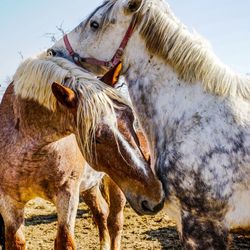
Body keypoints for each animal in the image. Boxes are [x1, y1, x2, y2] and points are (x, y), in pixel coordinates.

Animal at [0, 53, 164, 250]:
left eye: (131, 117)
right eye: (95, 137)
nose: (155, 197)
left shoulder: (67, 195)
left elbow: (65, 241)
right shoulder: (8, 202)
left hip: (114, 186)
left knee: (115, 222)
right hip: (89, 188)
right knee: (102, 213)